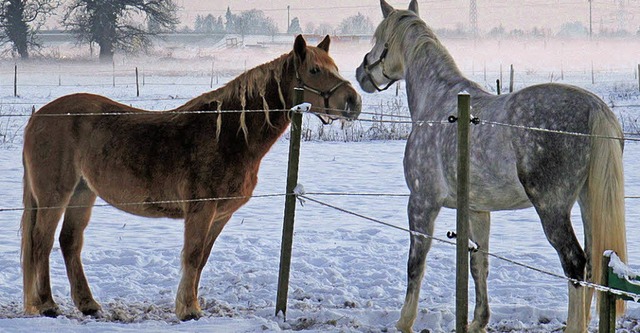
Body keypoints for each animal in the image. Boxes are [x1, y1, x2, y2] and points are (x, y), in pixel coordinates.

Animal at [21, 35, 360, 320]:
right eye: (315, 70)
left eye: (334, 67)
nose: (353, 101)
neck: (228, 134)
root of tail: (38, 117)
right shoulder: (201, 209)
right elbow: (193, 256)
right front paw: (188, 310)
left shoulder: (220, 214)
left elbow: (202, 259)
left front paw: (190, 304)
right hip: (54, 195)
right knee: (41, 242)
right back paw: (46, 305)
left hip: (82, 192)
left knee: (69, 242)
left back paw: (87, 304)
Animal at [356, 1, 632, 330]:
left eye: (379, 41)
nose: (361, 73)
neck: (437, 104)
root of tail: (595, 108)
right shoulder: (478, 210)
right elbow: (479, 263)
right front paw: (478, 321)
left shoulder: (422, 202)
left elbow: (415, 263)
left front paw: (404, 321)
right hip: (588, 201)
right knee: (593, 265)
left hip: (552, 209)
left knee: (575, 263)